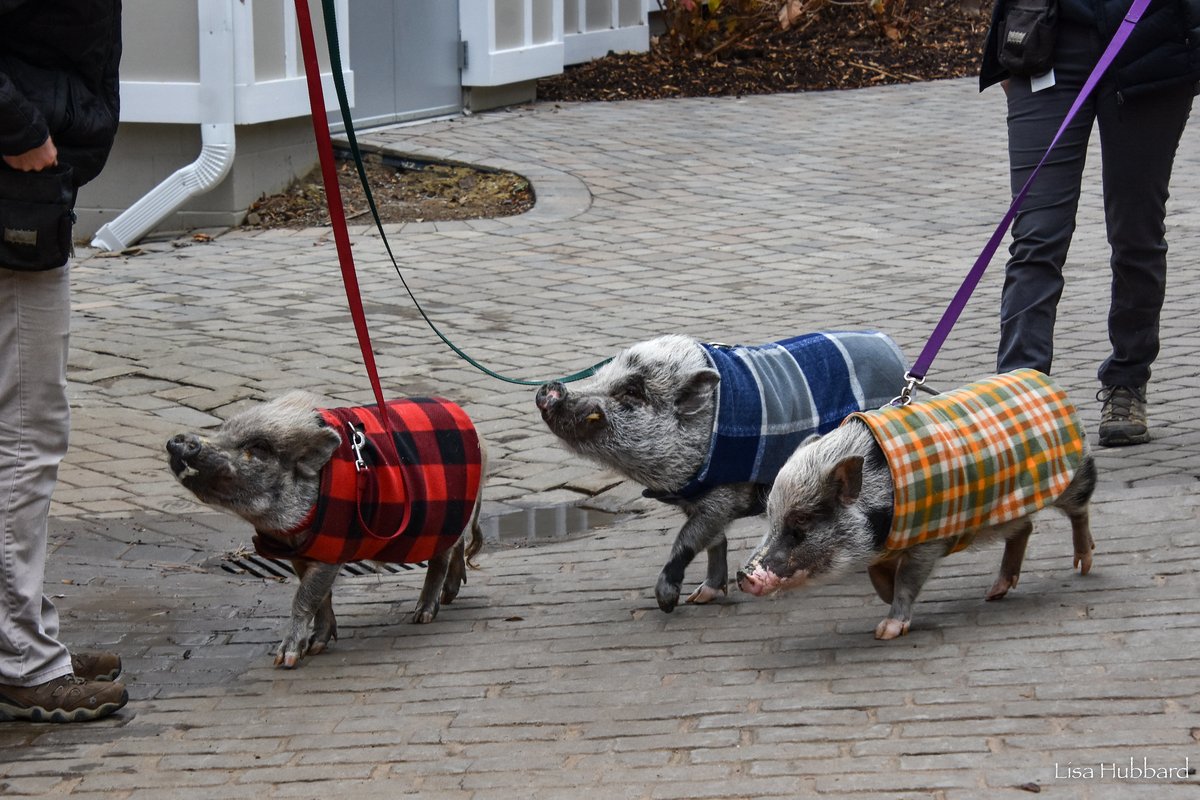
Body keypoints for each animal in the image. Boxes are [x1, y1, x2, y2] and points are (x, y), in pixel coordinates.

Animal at [166, 391, 485, 667]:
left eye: (259, 447)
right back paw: (448, 596)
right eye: (224, 429)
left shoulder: (334, 547)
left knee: (440, 558)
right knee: (457, 546)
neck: (287, 529)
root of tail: (473, 427)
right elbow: (322, 596)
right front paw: (317, 645)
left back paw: (422, 615)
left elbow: (305, 597)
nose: (178, 440)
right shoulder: (300, 552)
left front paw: (285, 659)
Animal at [535, 331, 909, 613]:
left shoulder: (723, 497)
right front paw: (702, 596)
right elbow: (716, 542)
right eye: (602, 373)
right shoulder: (701, 502)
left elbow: (687, 540)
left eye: (631, 391)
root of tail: (892, 349)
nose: (550, 389)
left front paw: (667, 603)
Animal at [738, 369, 1097, 640]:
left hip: (1073, 475)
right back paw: (994, 593)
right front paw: (883, 601)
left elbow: (907, 581)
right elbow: (879, 578)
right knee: (1025, 527)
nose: (743, 576)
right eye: (770, 516)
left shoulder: (929, 541)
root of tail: (1048, 380)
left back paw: (1083, 565)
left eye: (802, 520)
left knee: (1079, 510)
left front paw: (885, 631)